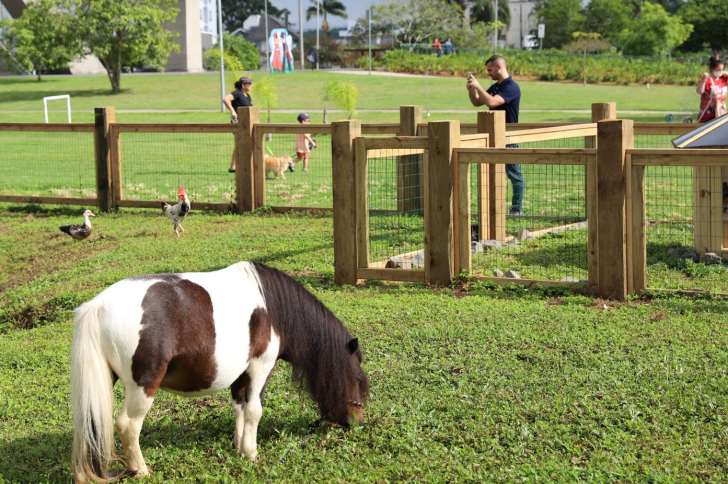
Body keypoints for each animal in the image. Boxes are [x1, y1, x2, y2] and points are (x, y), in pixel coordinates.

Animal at [70, 262, 370, 482]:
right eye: (357, 379)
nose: (357, 422)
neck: (273, 308)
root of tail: (98, 306)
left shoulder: (241, 374)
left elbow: (239, 407)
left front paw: (239, 445)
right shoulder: (260, 367)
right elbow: (254, 410)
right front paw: (251, 453)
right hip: (143, 386)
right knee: (127, 426)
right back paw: (141, 470)